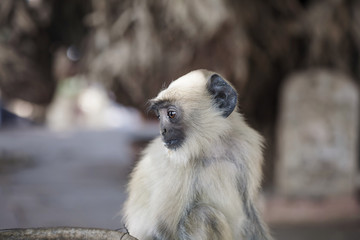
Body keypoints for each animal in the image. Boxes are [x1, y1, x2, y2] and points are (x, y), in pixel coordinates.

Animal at [122, 69, 272, 240]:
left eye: (171, 114)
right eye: (159, 116)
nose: (162, 131)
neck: (212, 147)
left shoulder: (247, 146)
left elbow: (249, 210)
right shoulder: (177, 165)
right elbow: (161, 229)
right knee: (203, 215)